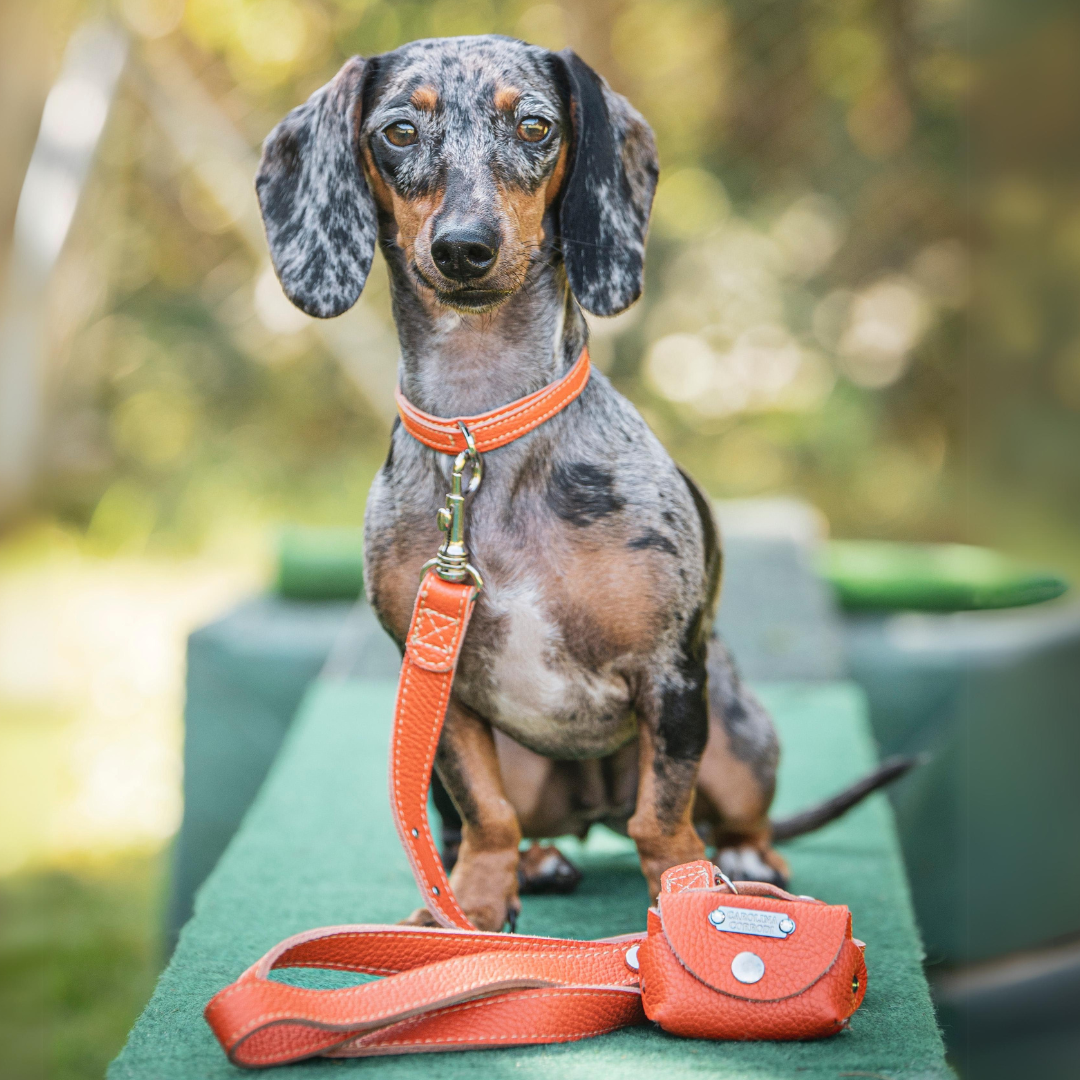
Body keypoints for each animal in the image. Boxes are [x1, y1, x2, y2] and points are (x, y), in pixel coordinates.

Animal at [254, 33, 911, 928]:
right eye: (397, 131)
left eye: (535, 125)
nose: (464, 248)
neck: (484, 429)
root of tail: (593, 800)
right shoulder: (441, 692)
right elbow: (485, 814)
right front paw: (471, 907)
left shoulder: (671, 676)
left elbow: (664, 818)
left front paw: (686, 894)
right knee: (480, 824)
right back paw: (534, 862)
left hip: (738, 732)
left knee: (725, 814)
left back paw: (745, 858)